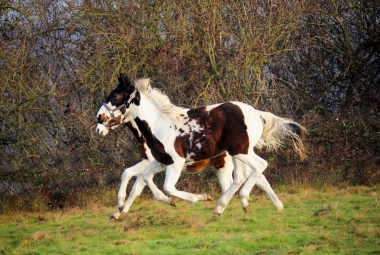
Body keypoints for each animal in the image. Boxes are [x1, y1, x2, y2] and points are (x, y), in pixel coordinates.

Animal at [95, 74, 306, 217]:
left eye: (115, 96)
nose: (99, 121)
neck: (158, 124)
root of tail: (256, 113)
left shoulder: (175, 163)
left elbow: (165, 186)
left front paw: (200, 197)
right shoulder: (160, 161)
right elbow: (144, 179)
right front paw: (123, 209)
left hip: (239, 151)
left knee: (259, 167)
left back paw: (233, 202)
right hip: (236, 155)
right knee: (245, 176)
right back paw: (252, 206)